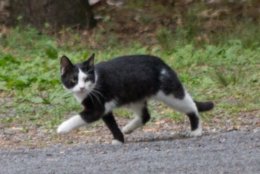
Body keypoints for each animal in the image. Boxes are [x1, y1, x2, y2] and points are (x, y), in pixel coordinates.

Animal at [57, 54, 213, 144]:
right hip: (134, 96)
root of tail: (162, 63)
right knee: (145, 116)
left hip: (170, 94)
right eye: (73, 79)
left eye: (87, 79)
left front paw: (62, 128)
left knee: (192, 107)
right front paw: (119, 139)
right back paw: (128, 128)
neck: (95, 83)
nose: (82, 87)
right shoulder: (105, 109)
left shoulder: (97, 108)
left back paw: (196, 131)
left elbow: (80, 117)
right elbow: (111, 124)